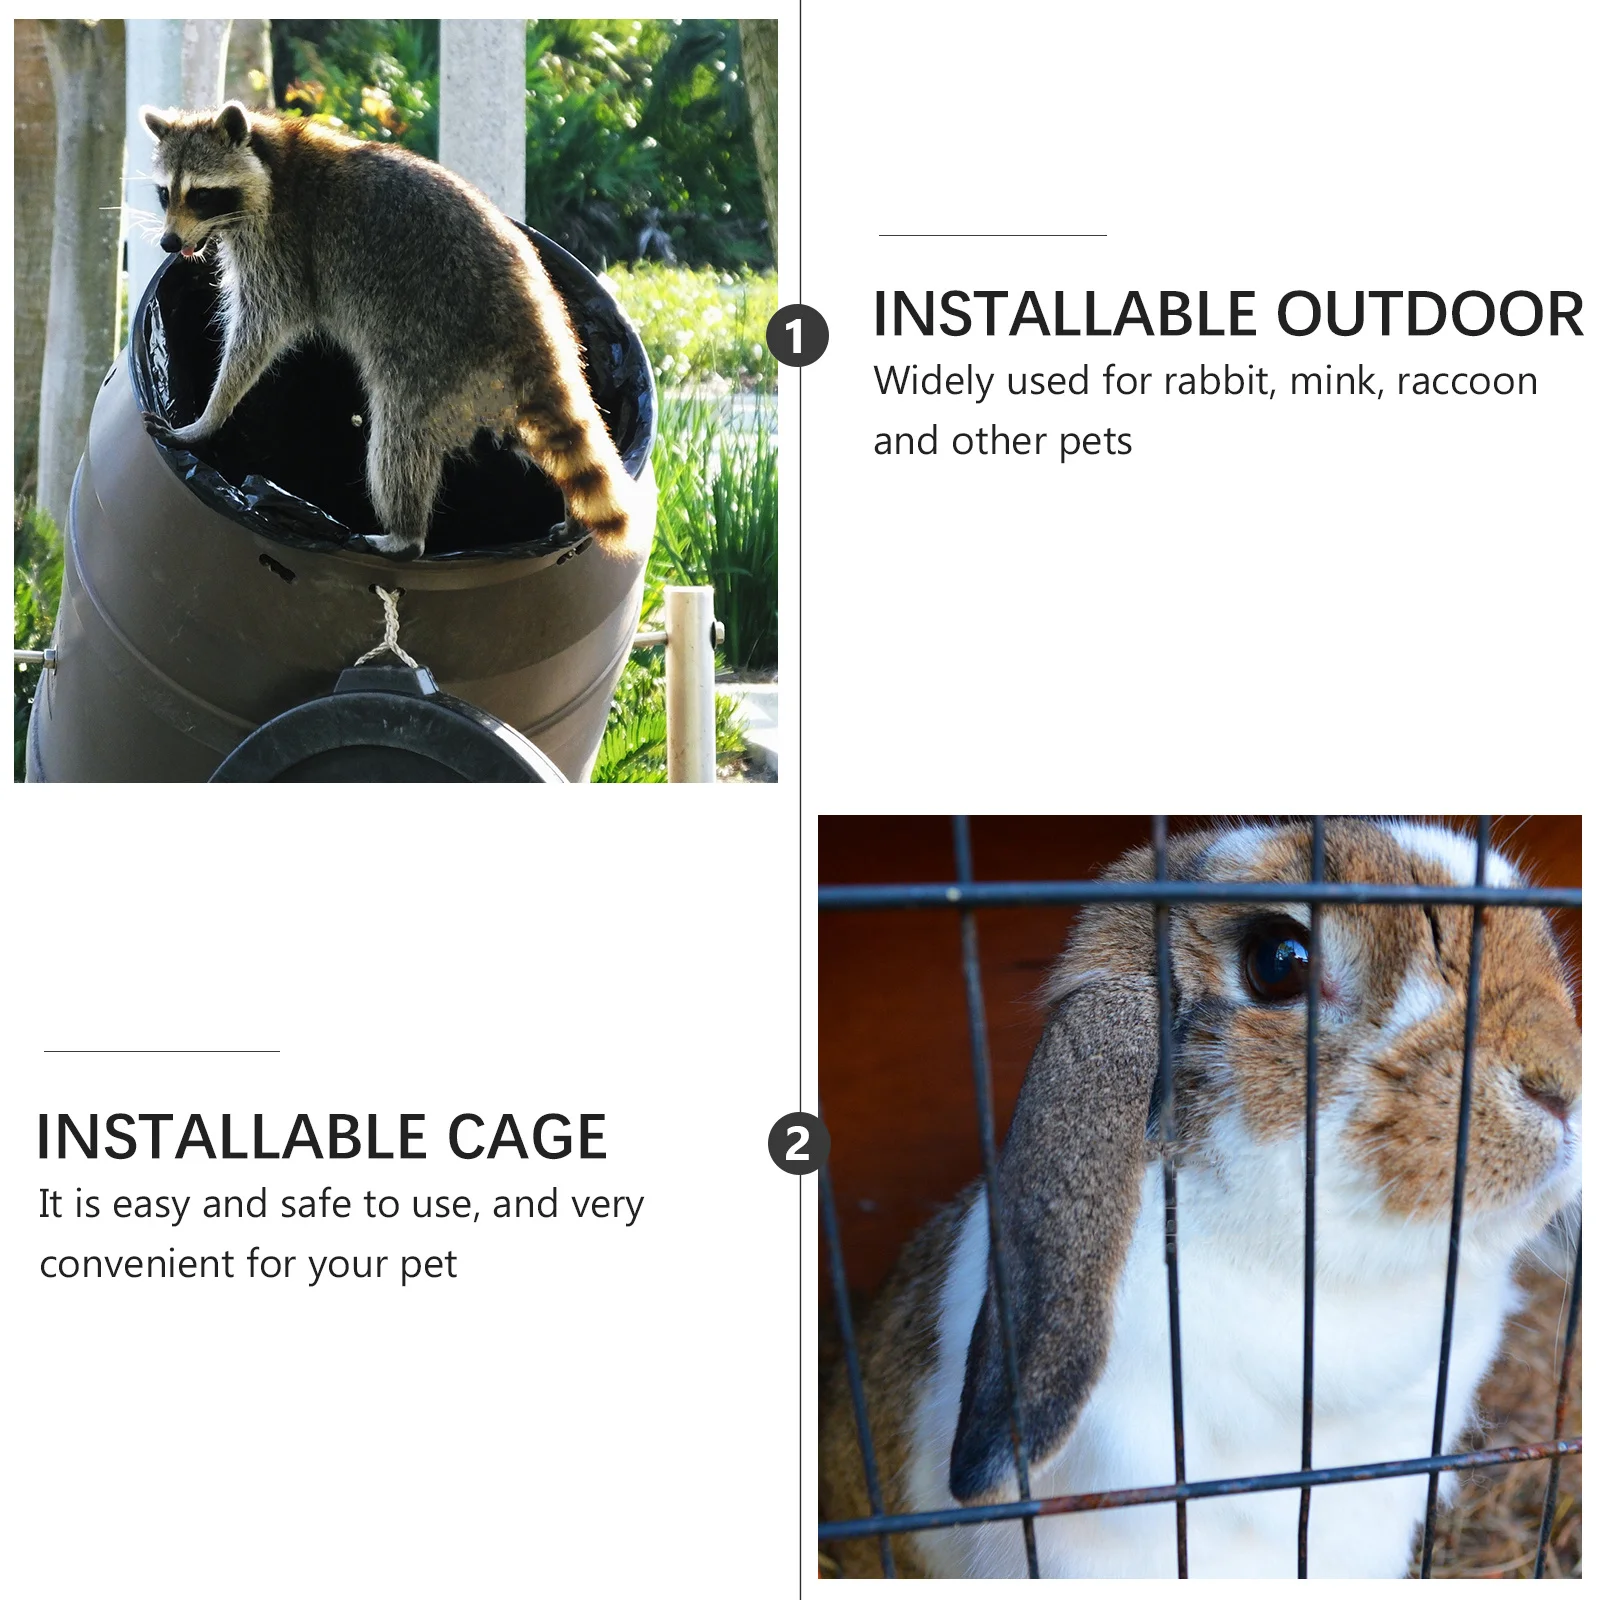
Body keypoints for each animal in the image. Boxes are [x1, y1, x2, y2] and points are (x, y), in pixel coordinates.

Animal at [141, 101, 641, 561]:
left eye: (202, 195)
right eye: (165, 193)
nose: (168, 242)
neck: (272, 160)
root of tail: (538, 329)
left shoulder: (283, 245)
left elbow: (259, 330)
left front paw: (211, 414)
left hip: (440, 355)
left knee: (400, 435)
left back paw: (405, 534)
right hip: (493, 389)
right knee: (537, 438)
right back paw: (571, 510)